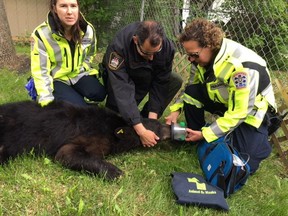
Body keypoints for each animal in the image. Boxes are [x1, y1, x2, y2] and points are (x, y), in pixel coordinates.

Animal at [0, 100, 171, 180]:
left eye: (158, 123)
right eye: (155, 130)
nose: (169, 127)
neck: (111, 127)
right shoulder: (91, 136)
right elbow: (66, 153)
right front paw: (115, 172)